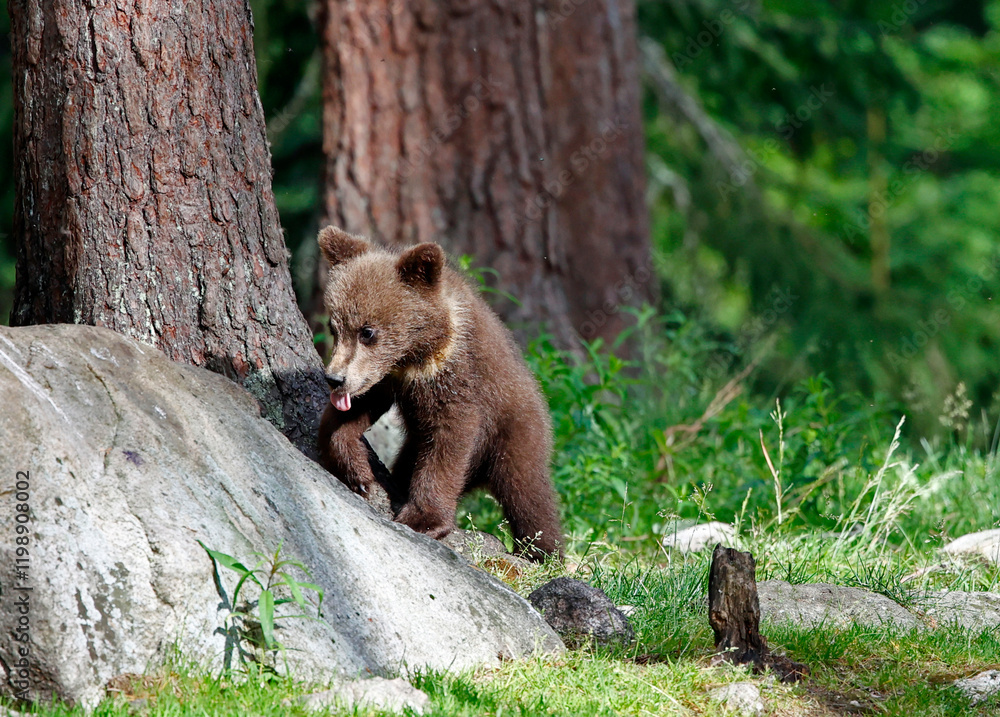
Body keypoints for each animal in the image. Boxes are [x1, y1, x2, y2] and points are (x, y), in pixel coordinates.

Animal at [315, 226, 563, 560]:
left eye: (368, 331)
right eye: (334, 326)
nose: (334, 378)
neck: (417, 354)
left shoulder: (459, 380)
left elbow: (449, 441)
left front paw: (424, 519)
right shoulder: (388, 378)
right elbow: (357, 409)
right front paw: (357, 472)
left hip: (514, 434)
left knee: (528, 493)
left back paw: (544, 552)